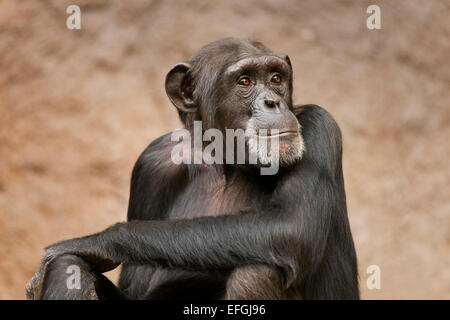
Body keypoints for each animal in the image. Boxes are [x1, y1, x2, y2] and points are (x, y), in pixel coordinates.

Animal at [27, 37, 358, 300]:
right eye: (245, 82)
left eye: (277, 78)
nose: (273, 102)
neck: (227, 162)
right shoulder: (150, 165)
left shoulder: (319, 124)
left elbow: (292, 225)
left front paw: (96, 241)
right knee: (69, 267)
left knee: (258, 271)